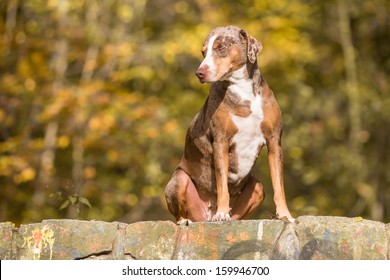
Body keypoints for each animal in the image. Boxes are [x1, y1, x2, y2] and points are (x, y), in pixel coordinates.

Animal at [163, 25, 294, 224]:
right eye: (203, 52)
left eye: (221, 47)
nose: (199, 72)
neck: (243, 90)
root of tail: (205, 216)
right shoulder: (221, 142)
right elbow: (222, 183)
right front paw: (222, 213)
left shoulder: (274, 142)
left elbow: (279, 186)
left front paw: (285, 215)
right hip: (179, 180)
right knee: (180, 211)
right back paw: (188, 220)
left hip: (258, 187)